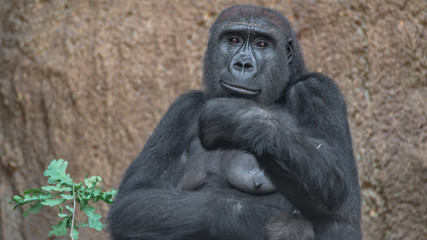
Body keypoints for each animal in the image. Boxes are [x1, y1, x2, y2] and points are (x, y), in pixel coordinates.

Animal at [108, 4, 362, 240]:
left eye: (262, 44)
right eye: (233, 40)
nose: (242, 64)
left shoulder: (318, 91)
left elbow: (338, 195)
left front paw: (238, 119)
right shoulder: (181, 109)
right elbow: (134, 199)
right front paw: (254, 219)